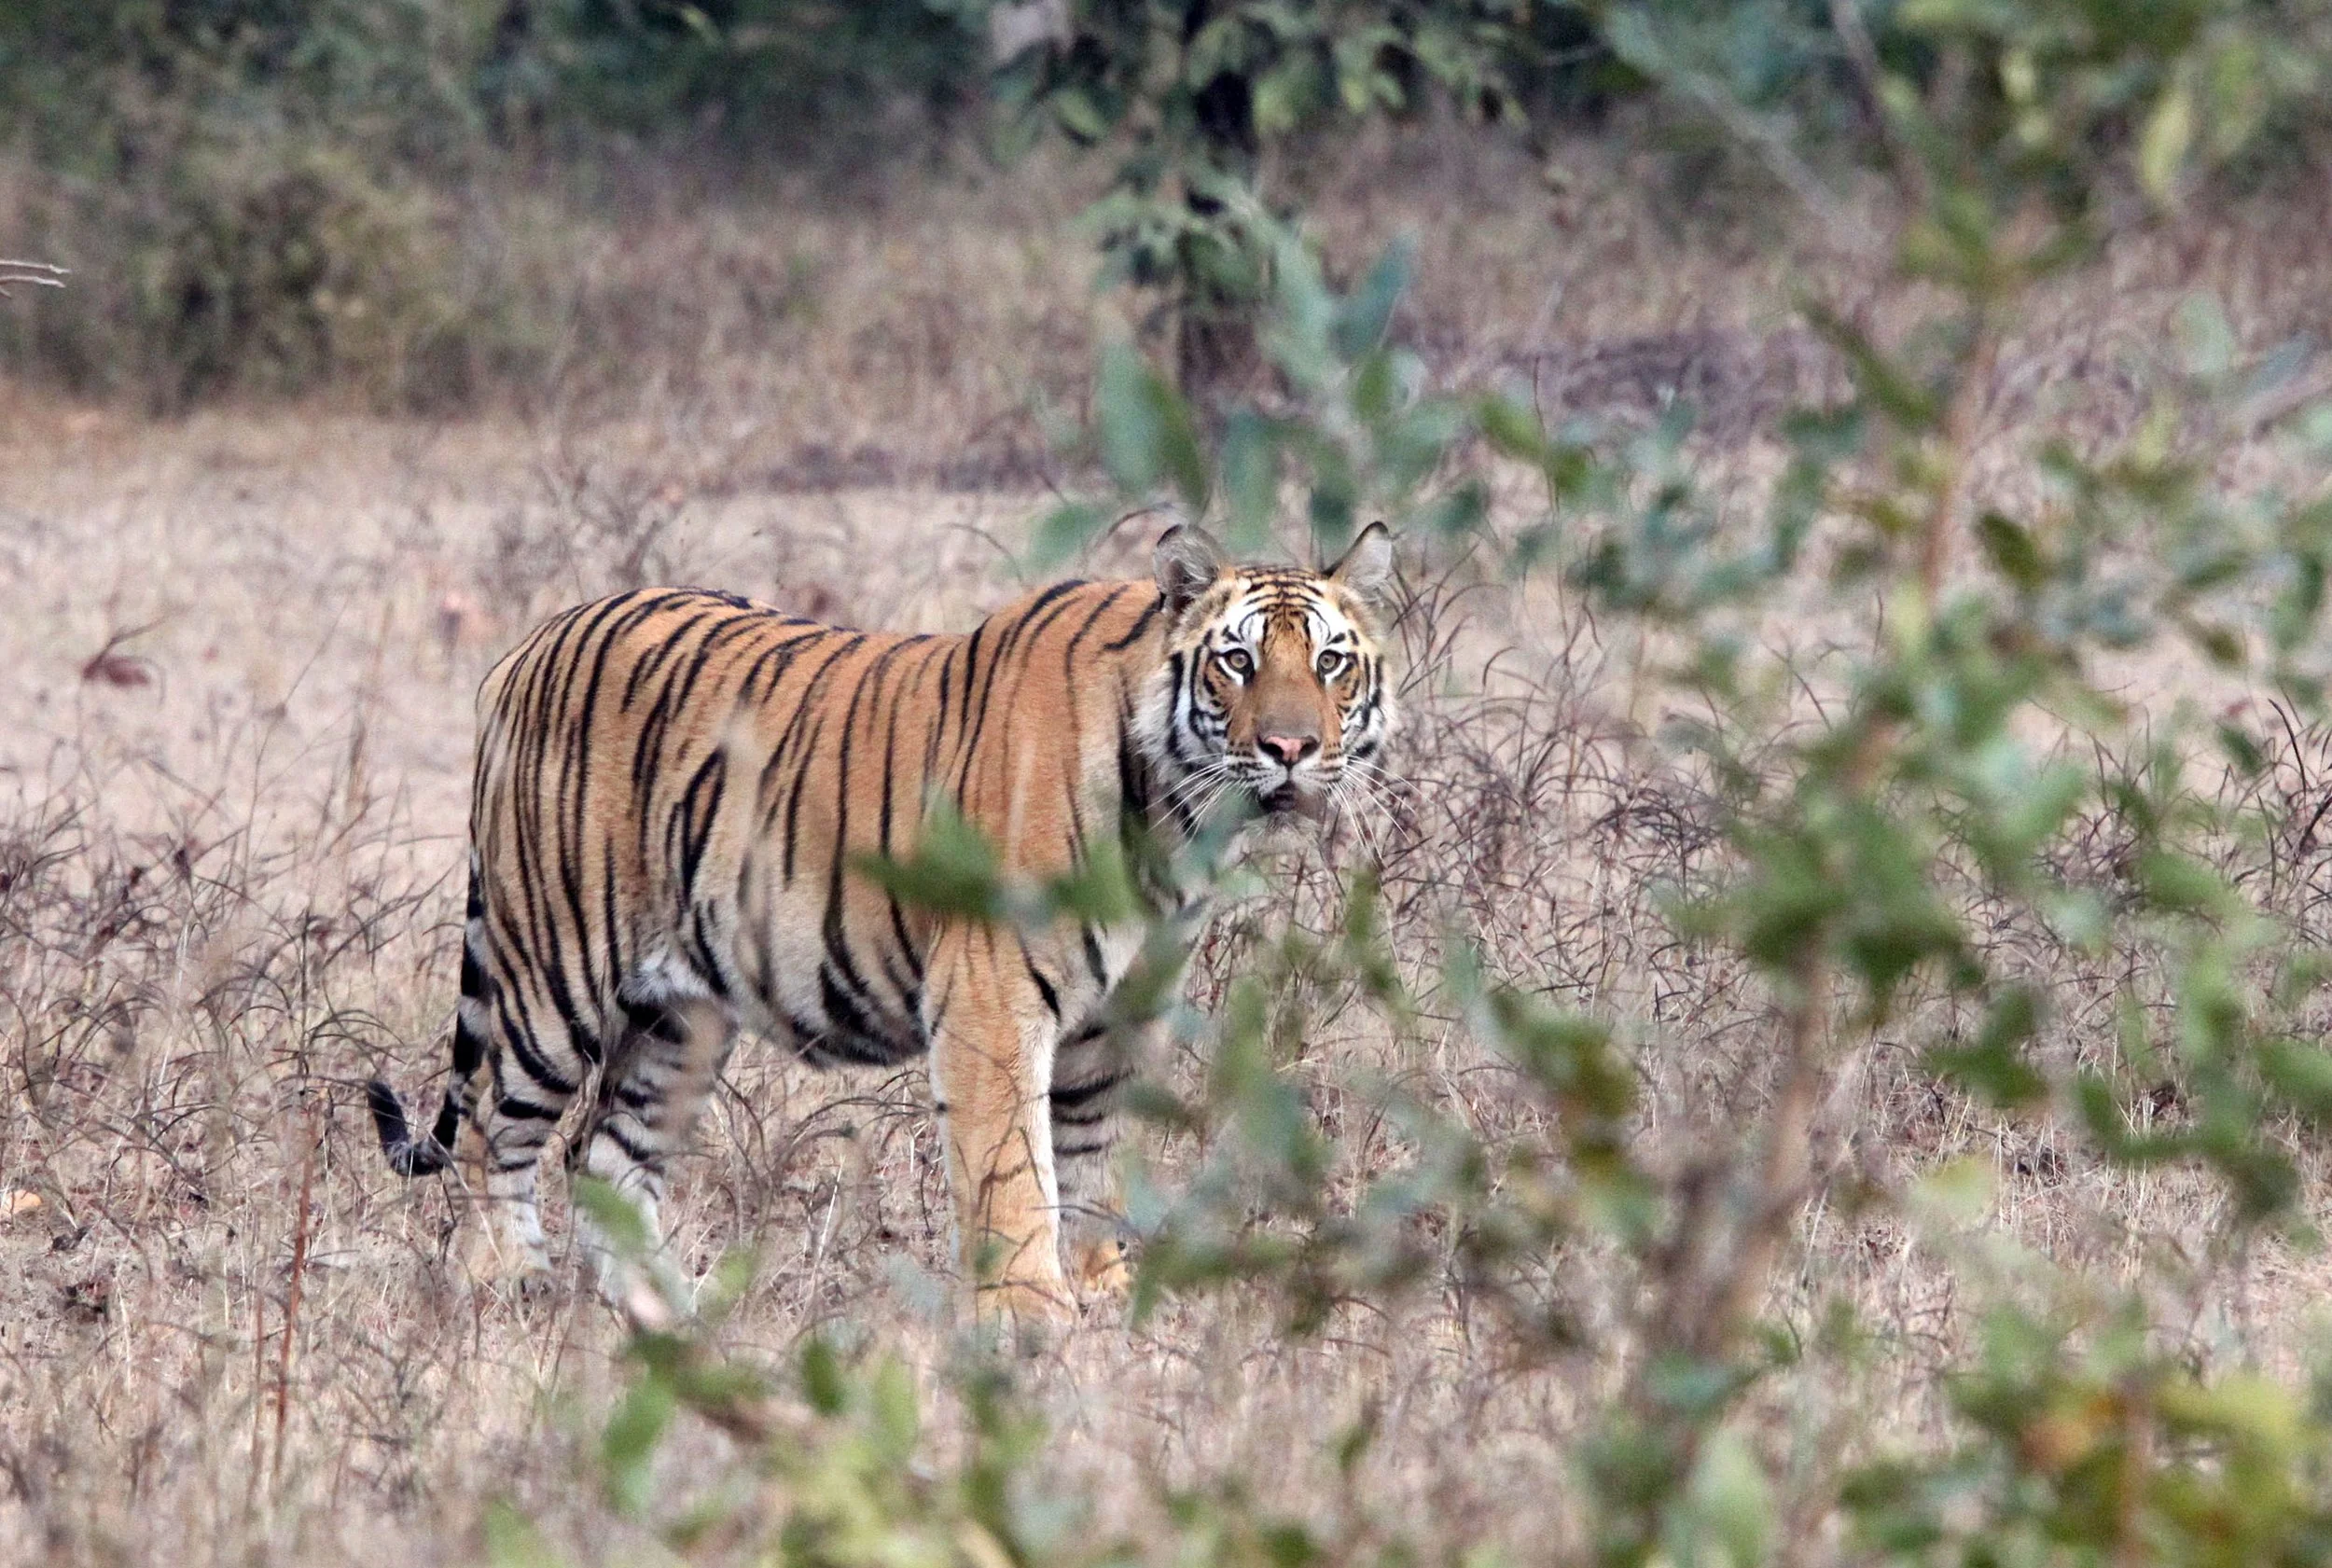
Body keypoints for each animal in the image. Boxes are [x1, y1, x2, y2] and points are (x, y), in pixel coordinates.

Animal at [366, 522, 1397, 1323]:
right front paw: (1035, 1315)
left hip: (677, 1019)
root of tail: (526, 647)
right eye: (1238, 660)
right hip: (556, 975)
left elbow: (1089, 1161)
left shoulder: (1118, 1017)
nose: (1292, 747)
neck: (1176, 818)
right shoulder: (991, 993)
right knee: (495, 1128)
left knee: (605, 1158)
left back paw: (673, 1314)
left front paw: (1104, 1294)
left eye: (1330, 662)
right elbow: (1014, 1169)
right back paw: (513, 1285)